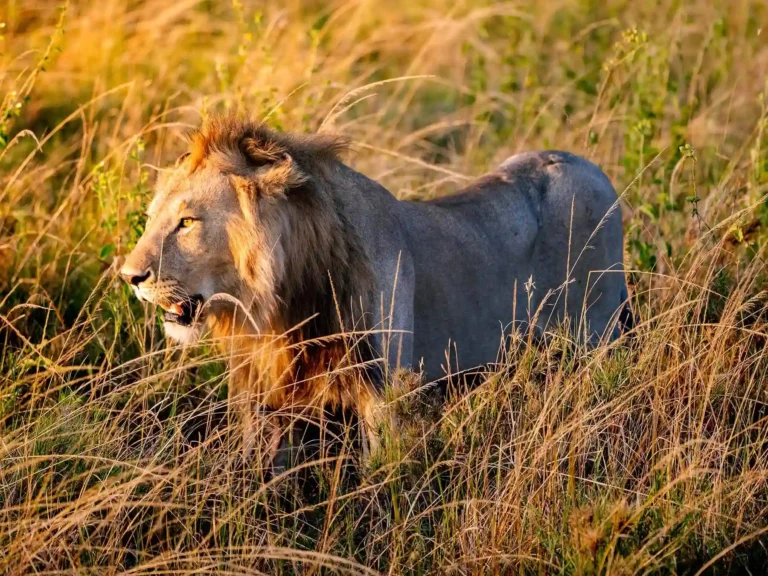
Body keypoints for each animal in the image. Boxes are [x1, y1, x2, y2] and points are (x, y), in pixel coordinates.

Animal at [120, 115, 632, 459]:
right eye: (150, 217)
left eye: (187, 222)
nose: (129, 277)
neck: (282, 306)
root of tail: (588, 166)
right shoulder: (266, 399)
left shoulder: (384, 400)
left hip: (597, 339)